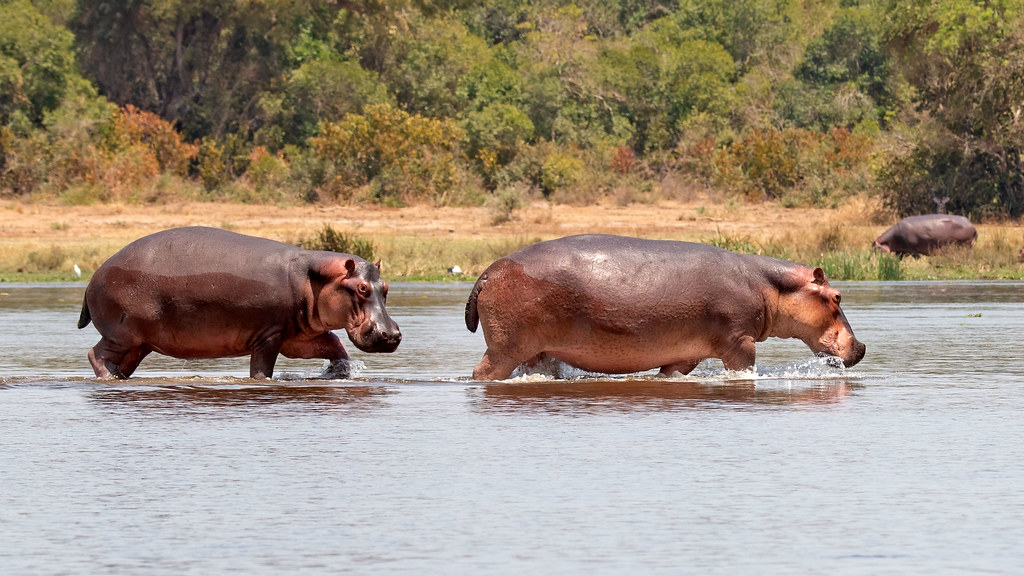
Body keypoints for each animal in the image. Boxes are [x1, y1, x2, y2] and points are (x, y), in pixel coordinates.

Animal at [77, 226, 401, 379]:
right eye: (361, 287)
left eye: (385, 287)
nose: (390, 334)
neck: (314, 277)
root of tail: (94, 275)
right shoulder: (269, 336)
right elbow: (261, 370)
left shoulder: (297, 337)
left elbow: (335, 346)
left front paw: (338, 373)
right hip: (122, 334)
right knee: (96, 354)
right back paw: (108, 377)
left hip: (140, 343)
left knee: (120, 361)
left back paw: (118, 377)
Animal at [465, 234, 865, 381]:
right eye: (837, 296)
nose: (861, 347)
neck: (770, 286)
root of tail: (487, 272)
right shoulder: (739, 342)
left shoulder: (684, 355)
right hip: (506, 348)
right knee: (482, 372)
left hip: (536, 352)